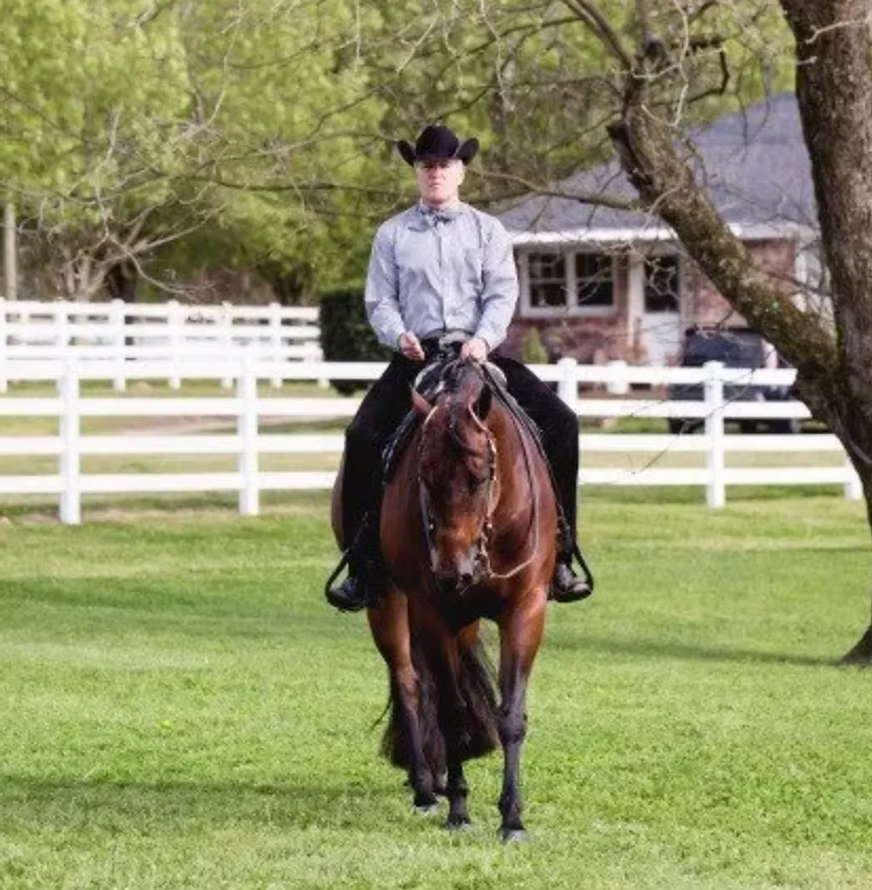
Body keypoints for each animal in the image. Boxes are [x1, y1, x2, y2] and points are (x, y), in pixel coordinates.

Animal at [331, 356, 558, 841]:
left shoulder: (525, 610)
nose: (453, 571)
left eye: (481, 476)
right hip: (389, 603)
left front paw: (512, 818)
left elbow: (511, 716)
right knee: (410, 684)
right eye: (424, 475)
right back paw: (425, 788)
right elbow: (452, 713)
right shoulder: (432, 612)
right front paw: (459, 810)